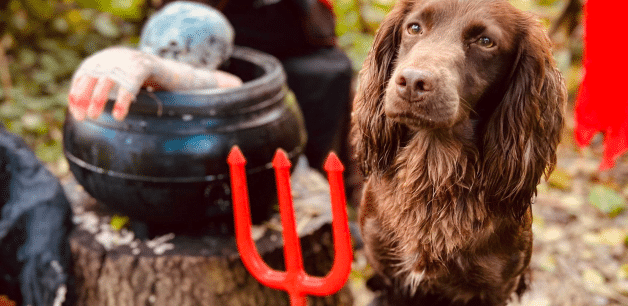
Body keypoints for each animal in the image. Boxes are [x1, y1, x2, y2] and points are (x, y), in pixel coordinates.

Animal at [354, 1, 564, 304]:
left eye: (485, 42)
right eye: (414, 27)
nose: (412, 81)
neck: (432, 174)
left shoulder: (496, 286)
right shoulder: (387, 270)